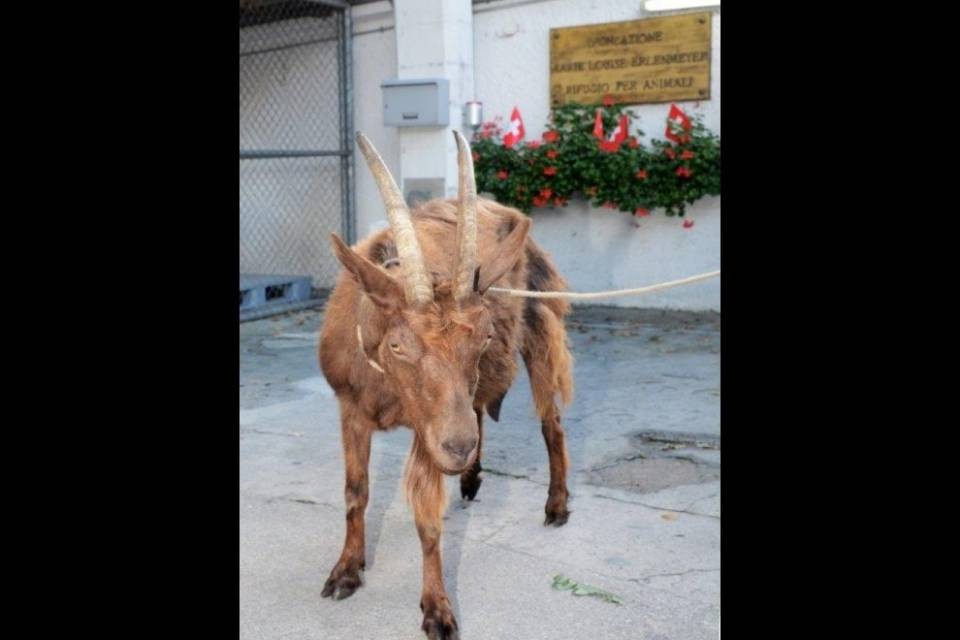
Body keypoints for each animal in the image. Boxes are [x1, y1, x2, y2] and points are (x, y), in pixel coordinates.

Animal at [318, 131, 574, 639]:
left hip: (539, 325)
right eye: (398, 345)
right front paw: (346, 572)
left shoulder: (428, 430)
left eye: (484, 336)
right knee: (479, 410)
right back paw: (473, 476)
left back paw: (555, 505)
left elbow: (428, 520)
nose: (458, 448)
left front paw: (436, 610)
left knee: (550, 421)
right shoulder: (352, 407)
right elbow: (356, 493)